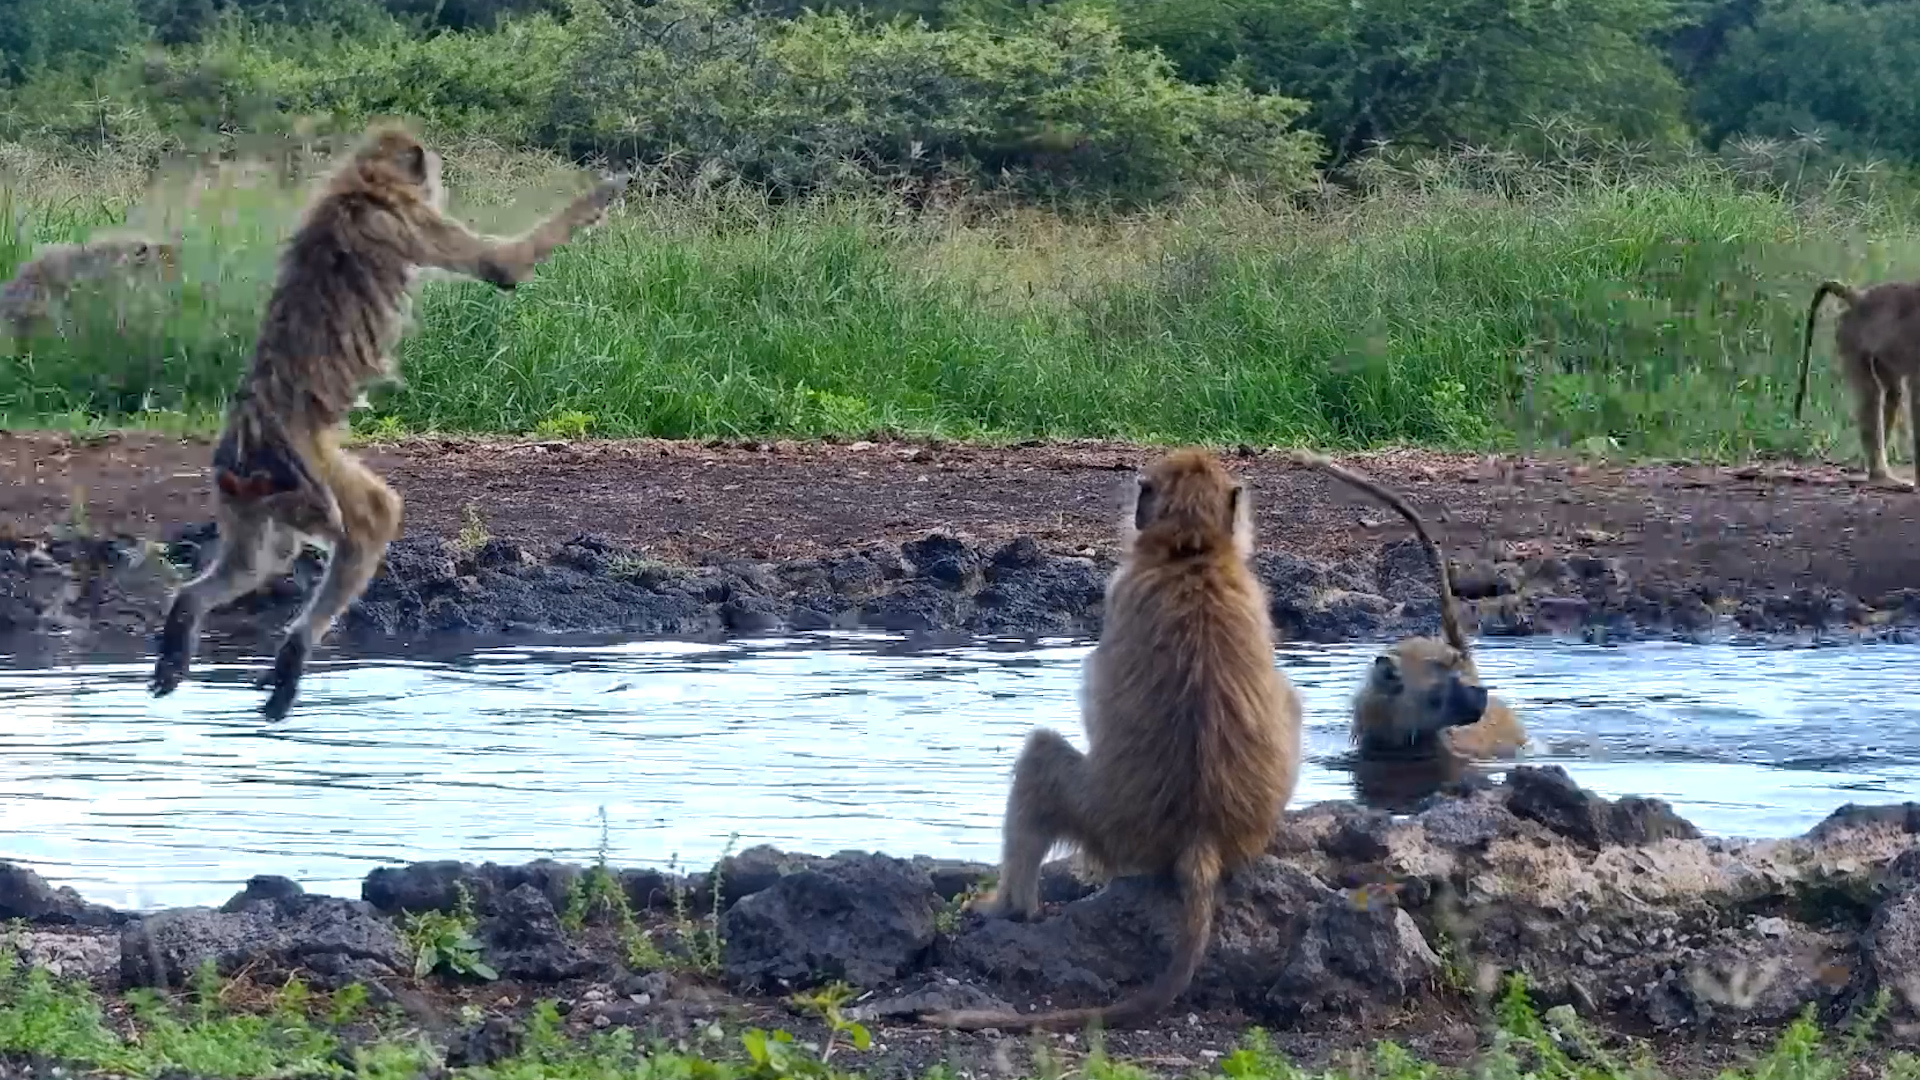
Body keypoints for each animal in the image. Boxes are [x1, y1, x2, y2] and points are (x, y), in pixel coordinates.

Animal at [148, 124, 629, 720]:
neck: (361, 186)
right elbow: (503, 268)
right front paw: (601, 195)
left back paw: (187, 616)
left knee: (262, 558)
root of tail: (249, 441)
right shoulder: (410, 219)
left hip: (252, 492)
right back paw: (295, 648)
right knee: (369, 516)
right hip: (302, 471)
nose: (436, 176)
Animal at [919, 448, 1302, 1032]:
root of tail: (1201, 835)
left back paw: (1010, 908)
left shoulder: (1118, 591)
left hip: (1113, 829)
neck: (1190, 553)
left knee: (1040, 758)